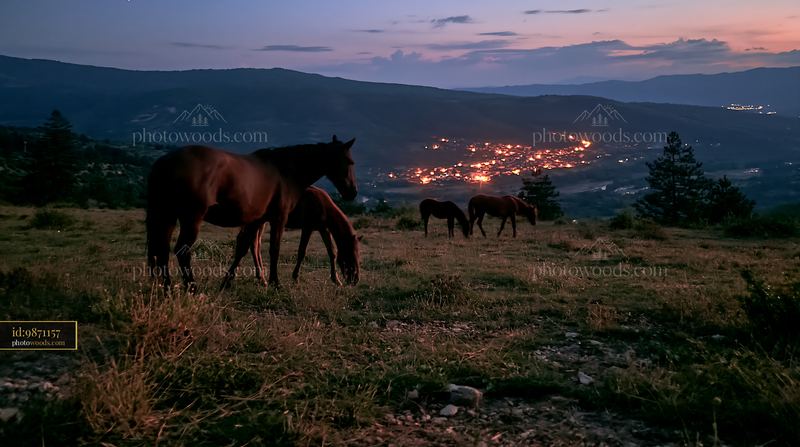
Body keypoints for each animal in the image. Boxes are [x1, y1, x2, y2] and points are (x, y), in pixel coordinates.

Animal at [145, 136, 357, 291]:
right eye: (349, 161)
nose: (352, 192)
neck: (285, 171)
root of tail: (164, 162)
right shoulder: (279, 218)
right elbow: (274, 249)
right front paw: (275, 283)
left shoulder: (258, 220)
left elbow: (243, 248)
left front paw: (227, 282)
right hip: (191, 219)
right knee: (181, 251)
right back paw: (192, 288)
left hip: (167, 216)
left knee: (161, 250)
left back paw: (167, 288)